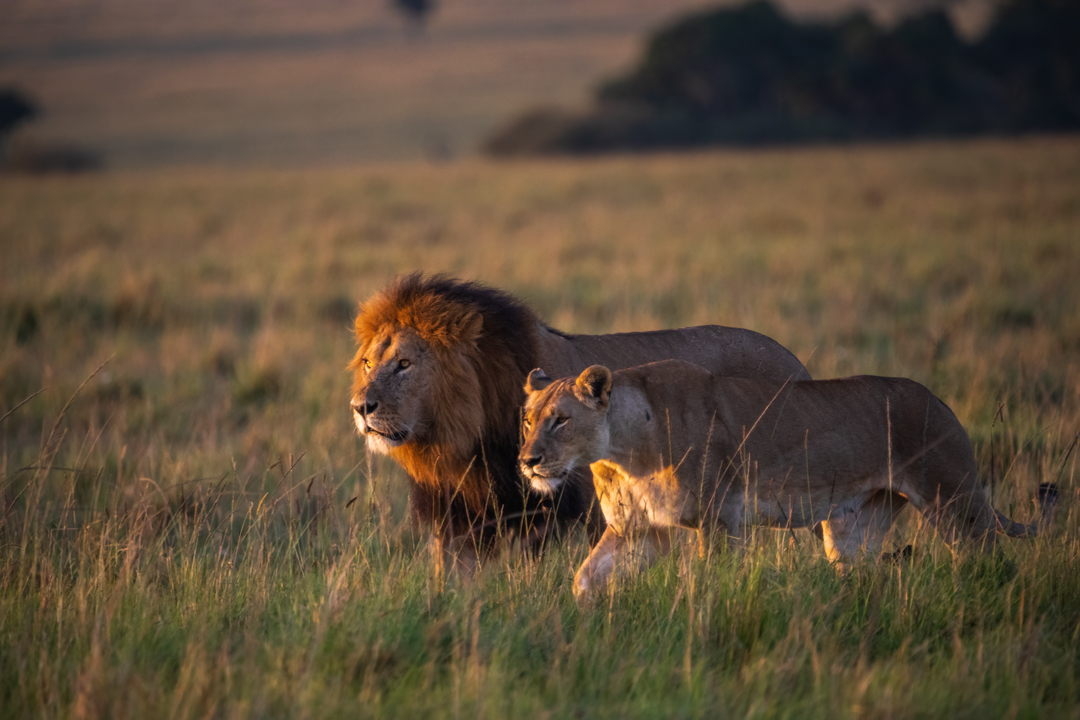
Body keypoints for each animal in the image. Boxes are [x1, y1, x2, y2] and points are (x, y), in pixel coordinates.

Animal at [349, 273, 807, 569]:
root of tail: (796, 361)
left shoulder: (585, 514)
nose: (360, 407)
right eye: (369, 363)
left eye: (404, 364)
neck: (464, 444)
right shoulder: (461, 525)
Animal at [518, 360, 1058, 595]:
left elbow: (714, 581)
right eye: (527, 420)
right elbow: (586, 576)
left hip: (955, 500)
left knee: (990, 559)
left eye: (560, 420)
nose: (527, 461)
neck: (620, 453)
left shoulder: (719, 520)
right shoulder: (640, 529)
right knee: (858, 571)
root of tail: (942, 403)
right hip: (853, 526)